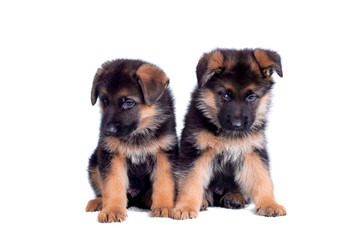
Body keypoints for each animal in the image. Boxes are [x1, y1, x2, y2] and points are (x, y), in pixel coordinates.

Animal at [86, 58, 179, 223]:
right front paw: (112, 210)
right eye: (104, 101)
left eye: (128, 103)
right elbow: (112, 185)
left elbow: (165, 182)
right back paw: (98, 202)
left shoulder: (164, 153)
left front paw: (164, 207)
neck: (138, 133)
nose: (107, 132)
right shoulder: (111, 156)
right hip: (94, 162)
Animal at [172, 48, 286, 219]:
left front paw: (269, 204)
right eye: (225, 95)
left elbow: (263, 179)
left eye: (251, 97)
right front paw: (185, 207)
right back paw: (203, 201)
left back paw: (234, 197)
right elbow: (190, 181)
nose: (237, 125)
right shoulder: (196, 151)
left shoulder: (252, 151)